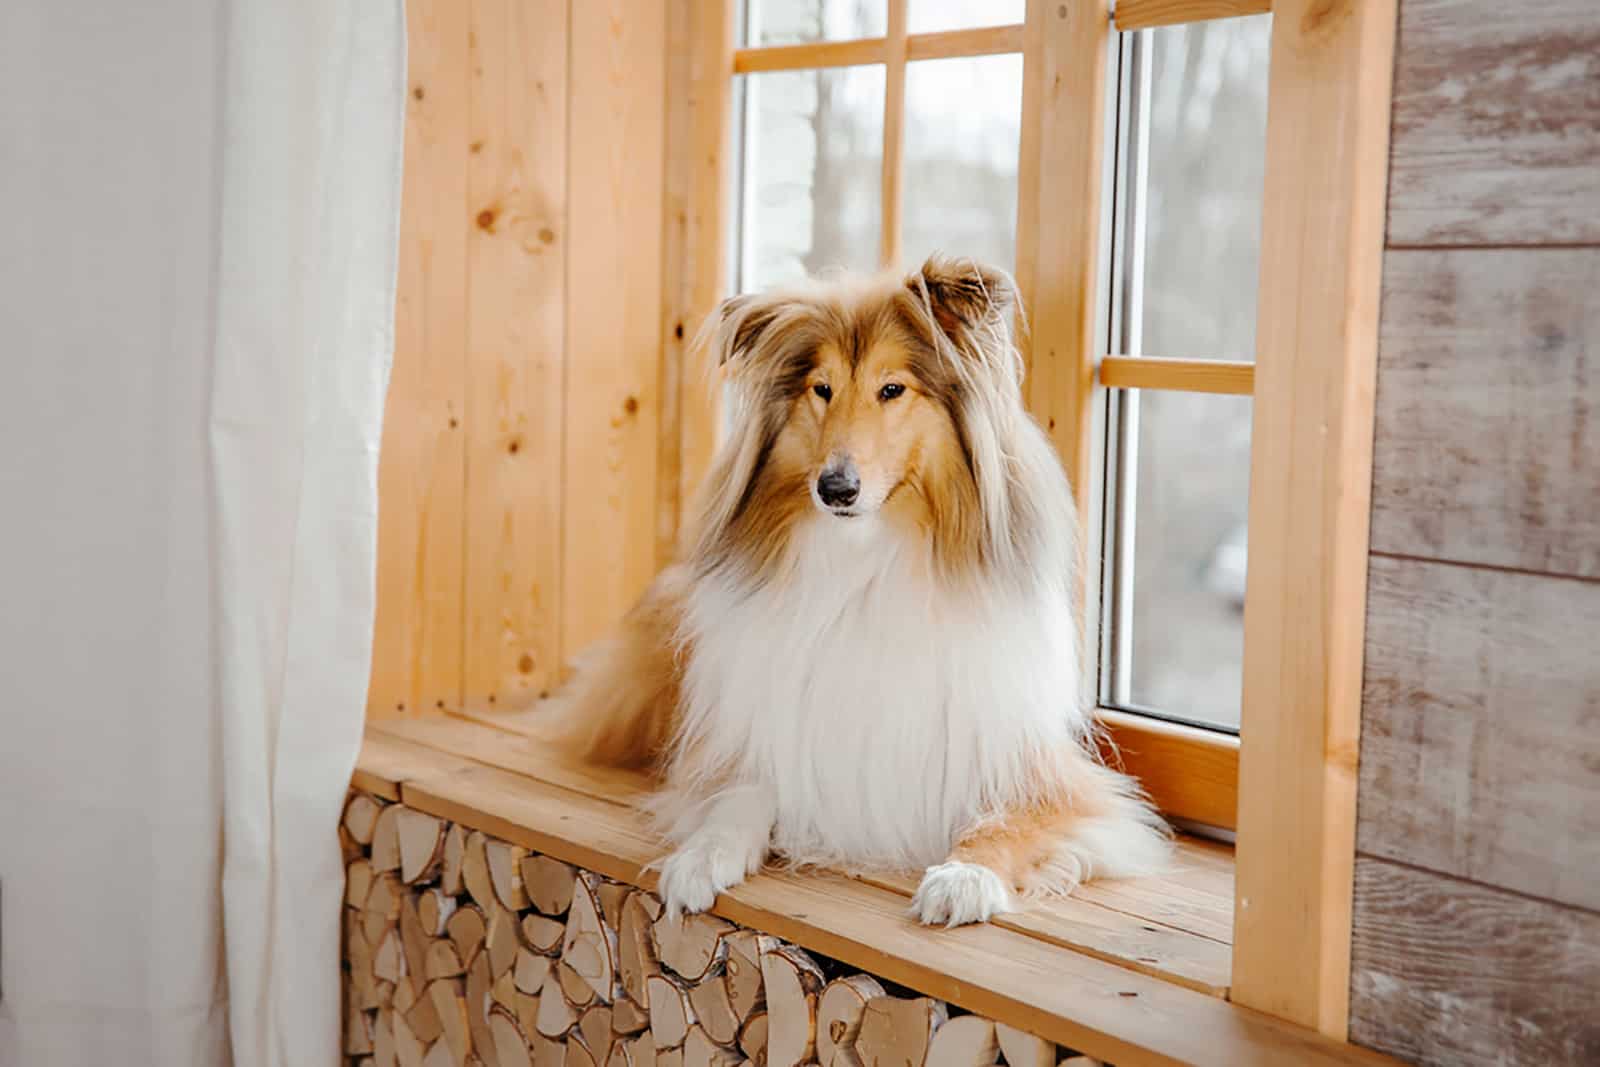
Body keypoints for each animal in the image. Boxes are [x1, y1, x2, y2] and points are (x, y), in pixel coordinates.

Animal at [547, 255, 1164, 927]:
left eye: (892, 389)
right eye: (822, 389)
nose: (835, 488)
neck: (868, 560)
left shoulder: (1052, 779)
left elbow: (1004, 822)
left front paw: (963, 877)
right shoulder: (753, 738)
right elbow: (740, 794)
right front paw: (699, 859)